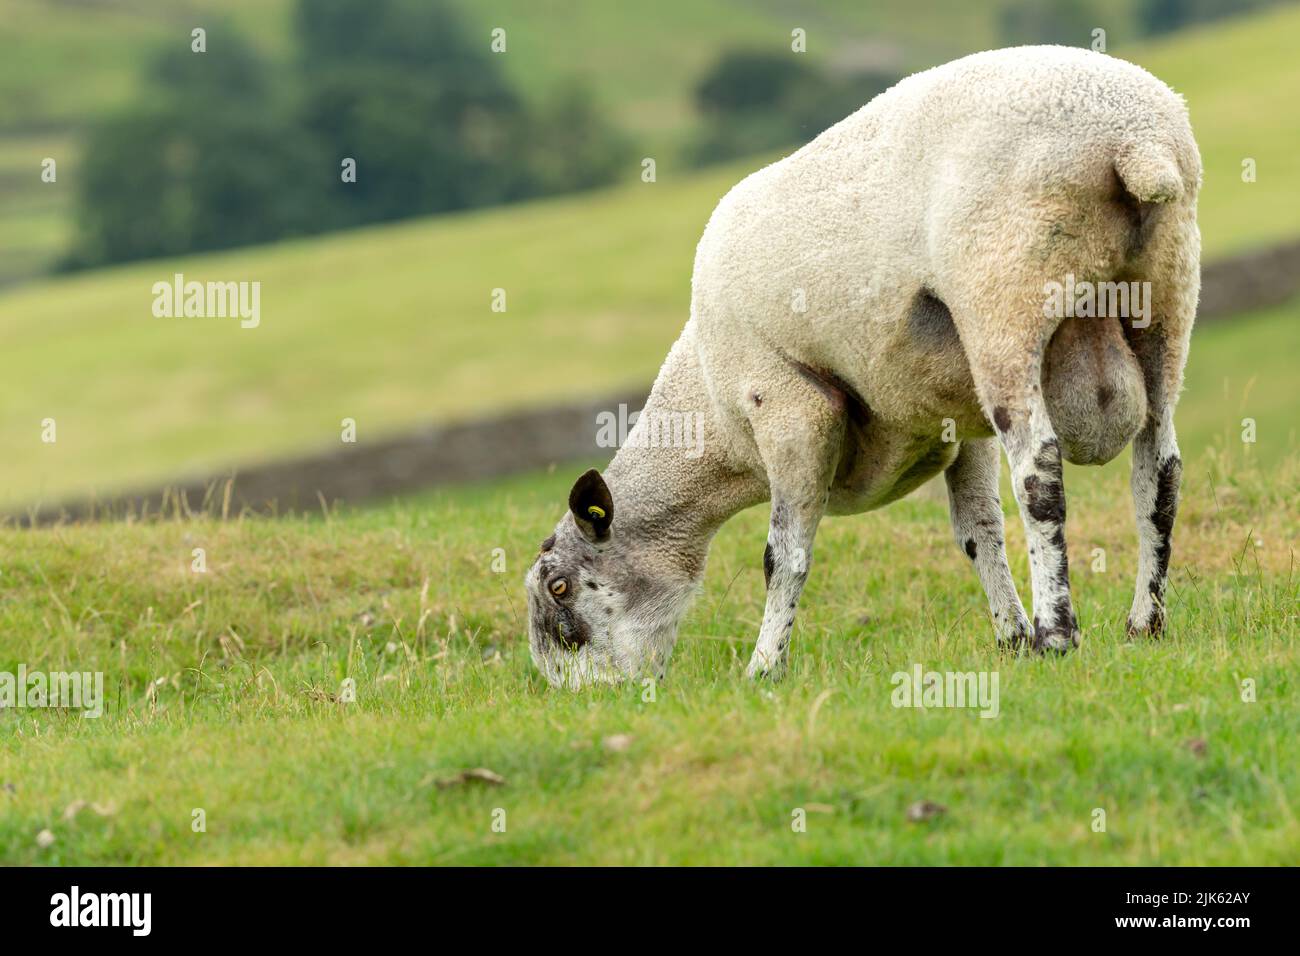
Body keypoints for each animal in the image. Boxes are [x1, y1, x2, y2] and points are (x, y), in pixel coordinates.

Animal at [522, 44, 1201, 686]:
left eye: (559, 587)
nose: (583, 698)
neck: (713, 417)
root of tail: (1133, 139)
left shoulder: (788, 407)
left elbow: (783, 556)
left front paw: (764, 669)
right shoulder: (961, 424)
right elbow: (979, 531)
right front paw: (1011, 637)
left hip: (1003, 300)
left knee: (1041, 478)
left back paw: (1060, 632)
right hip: (1165, 297)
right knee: (1159, 473)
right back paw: (1145, 623)